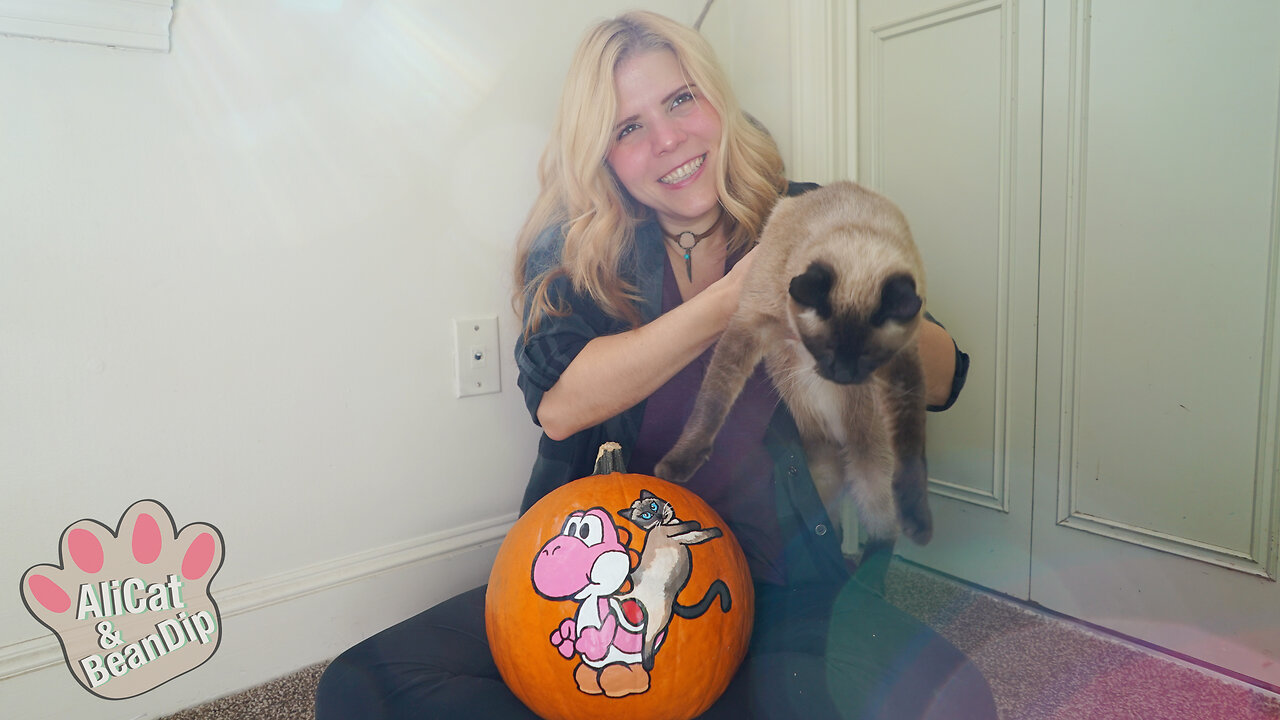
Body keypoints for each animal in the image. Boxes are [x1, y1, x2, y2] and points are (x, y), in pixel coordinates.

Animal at [655, 181, 936, 550]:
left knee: (881, 530)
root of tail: (840, 443)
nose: (842, 376)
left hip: (870, 474)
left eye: (867, 357)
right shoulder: (749, 327)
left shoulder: (903, 365)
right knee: (829, 520)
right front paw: (675, 468)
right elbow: (710, 406)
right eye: (824, 349)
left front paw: (918, 522)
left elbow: (911, 447)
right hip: (822, 466)